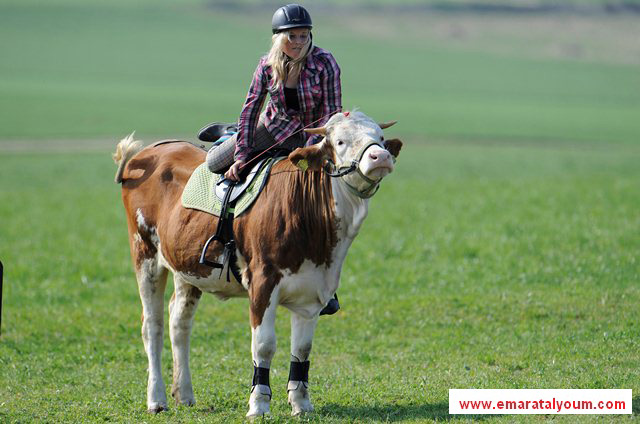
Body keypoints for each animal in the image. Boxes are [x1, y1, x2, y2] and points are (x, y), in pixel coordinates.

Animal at [110, 110, 400, 418]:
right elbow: (263, 346)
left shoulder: (313, 290)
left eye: (380, 137)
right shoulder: (263, 283)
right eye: (341, 141)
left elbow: (303, 349)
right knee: (152, 325)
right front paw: (259, 405)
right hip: (145, 254)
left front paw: (301, 404)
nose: (380, 156)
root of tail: (147, 153)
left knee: (179, 321)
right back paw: (156, 399)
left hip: (187, 267)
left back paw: (184, 394)